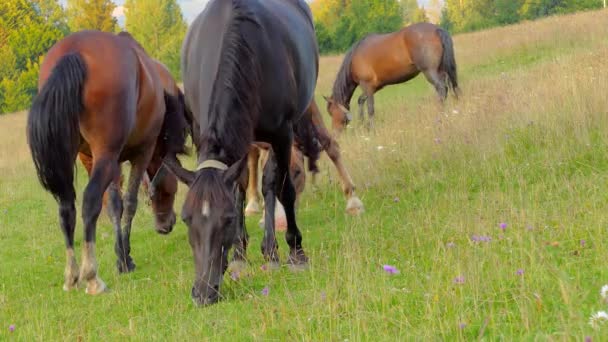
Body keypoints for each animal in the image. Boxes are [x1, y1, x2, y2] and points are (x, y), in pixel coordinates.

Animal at [25, 30, 188, 296]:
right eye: (170, 190)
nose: (166, 225)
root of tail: (75, 52)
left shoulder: (108, 161)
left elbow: (113, 205)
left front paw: (121, 256)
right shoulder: (141, 153)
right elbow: (129, 203)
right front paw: (125, 259)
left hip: (87, 158)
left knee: (66, 208)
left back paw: (71, 276)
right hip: (106, 156)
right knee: (90, 201)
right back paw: (92, 277)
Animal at [164, 0, 320, 304]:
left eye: (227, 219)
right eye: (186, 219)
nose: (203, 292)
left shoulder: (282, 133)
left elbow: (283, 189)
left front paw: (296, 251)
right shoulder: (201, 132)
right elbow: (237, 187)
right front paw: (238, 253)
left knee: (271, 184)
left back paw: (272, 250)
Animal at [324, 22, 460, 132]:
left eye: (331, 112)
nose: (335, 133)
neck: (354, 58)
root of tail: (436, 29)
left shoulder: (366, 85)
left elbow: (370, 108)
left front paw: (371, 129)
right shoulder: (374, 87)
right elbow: (361, 100)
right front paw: (363, 124)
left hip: (430, 71)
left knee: (441, 89)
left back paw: (440, 115)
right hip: (441, 70)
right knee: (450, 87)